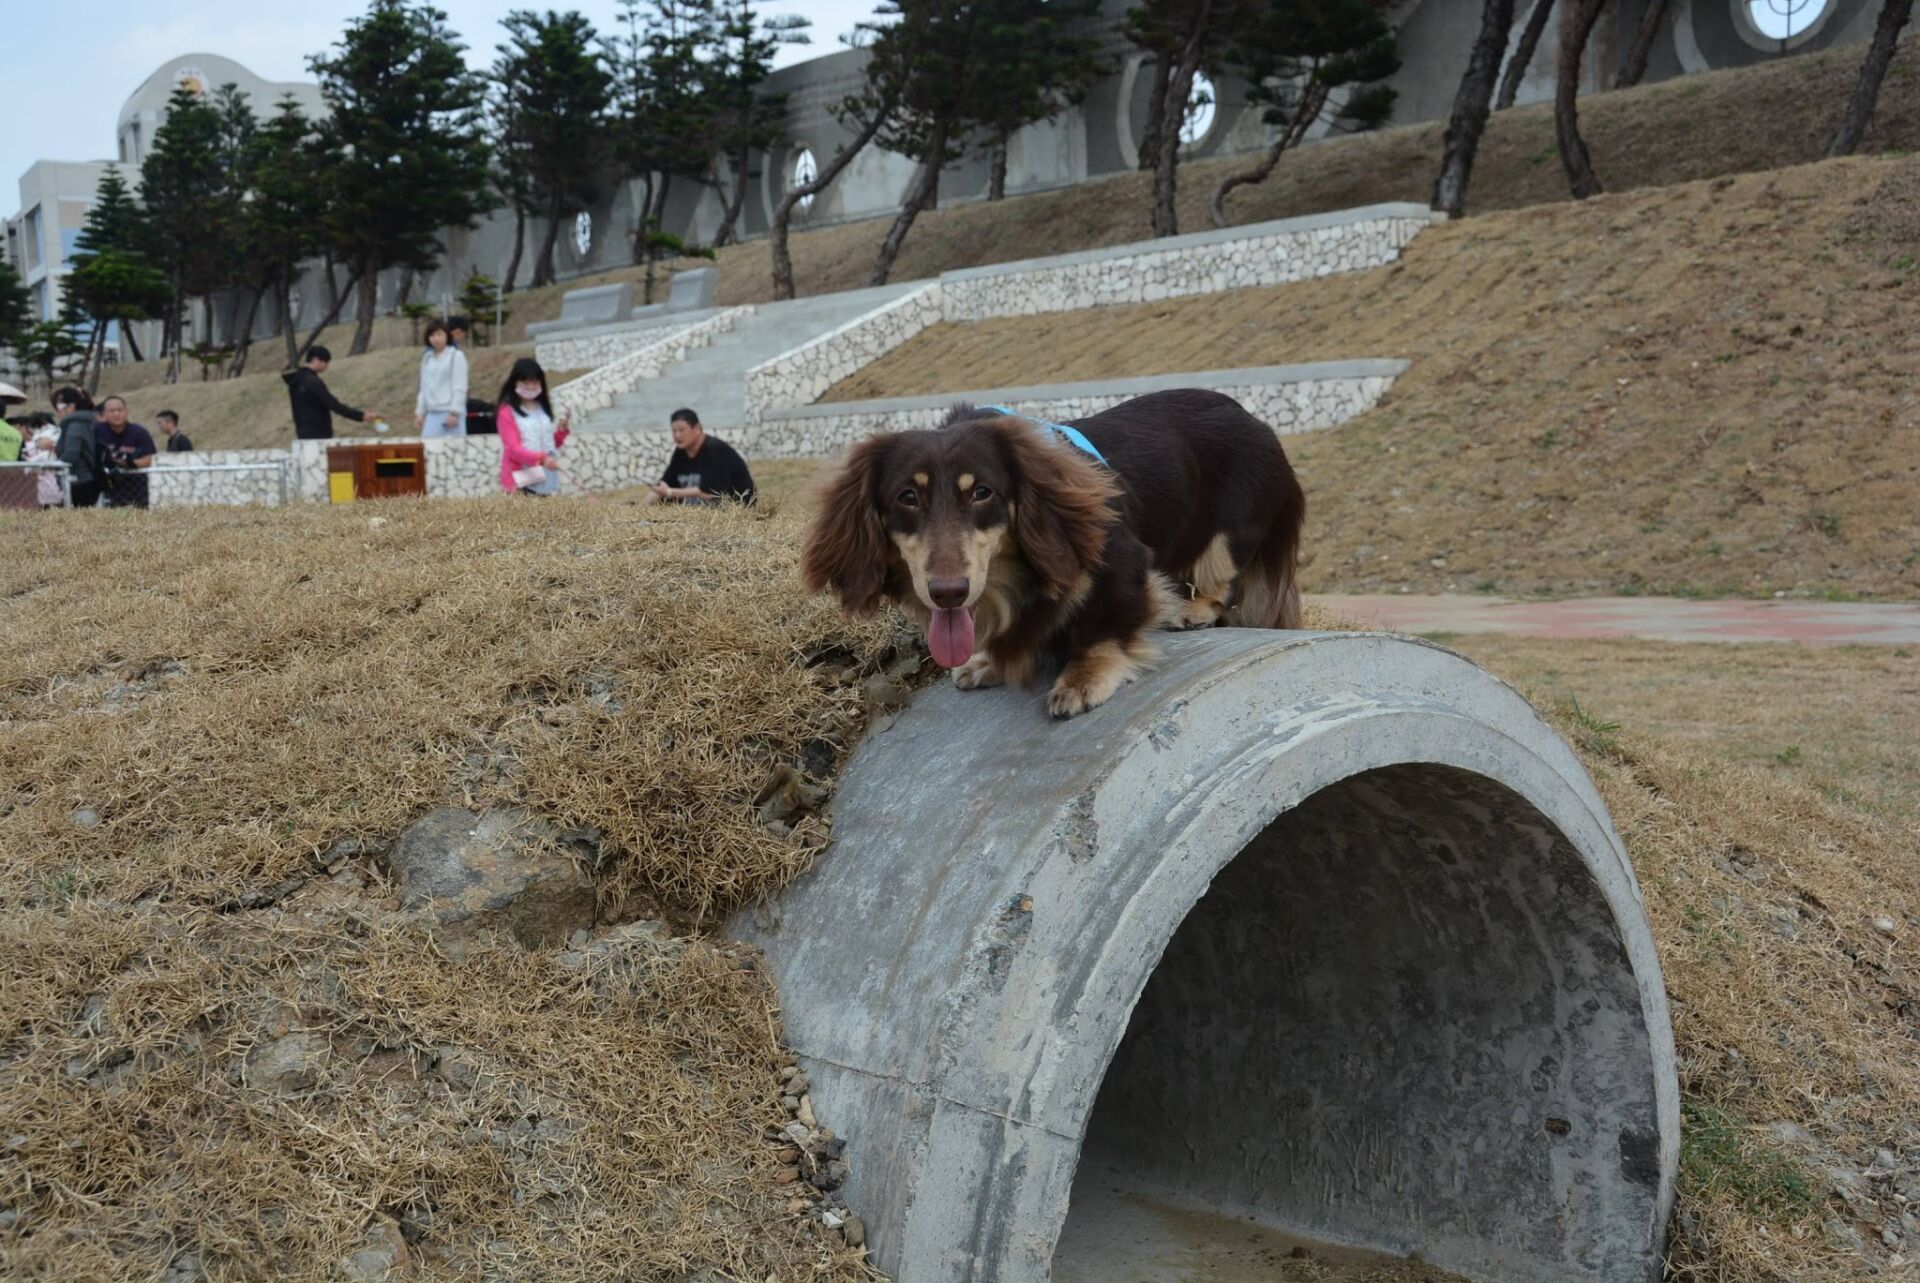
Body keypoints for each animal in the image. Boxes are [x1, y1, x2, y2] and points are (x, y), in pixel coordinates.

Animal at [794, 386, 1305, 718]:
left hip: (1228, 537)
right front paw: (988, 662)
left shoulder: (1120, 563)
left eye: (982, 492)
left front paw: (1083, 678)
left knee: (1222, 580)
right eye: (907, 497)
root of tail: (1254, 418)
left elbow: (1103, 626)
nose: (948, 592)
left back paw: (1194, 608)